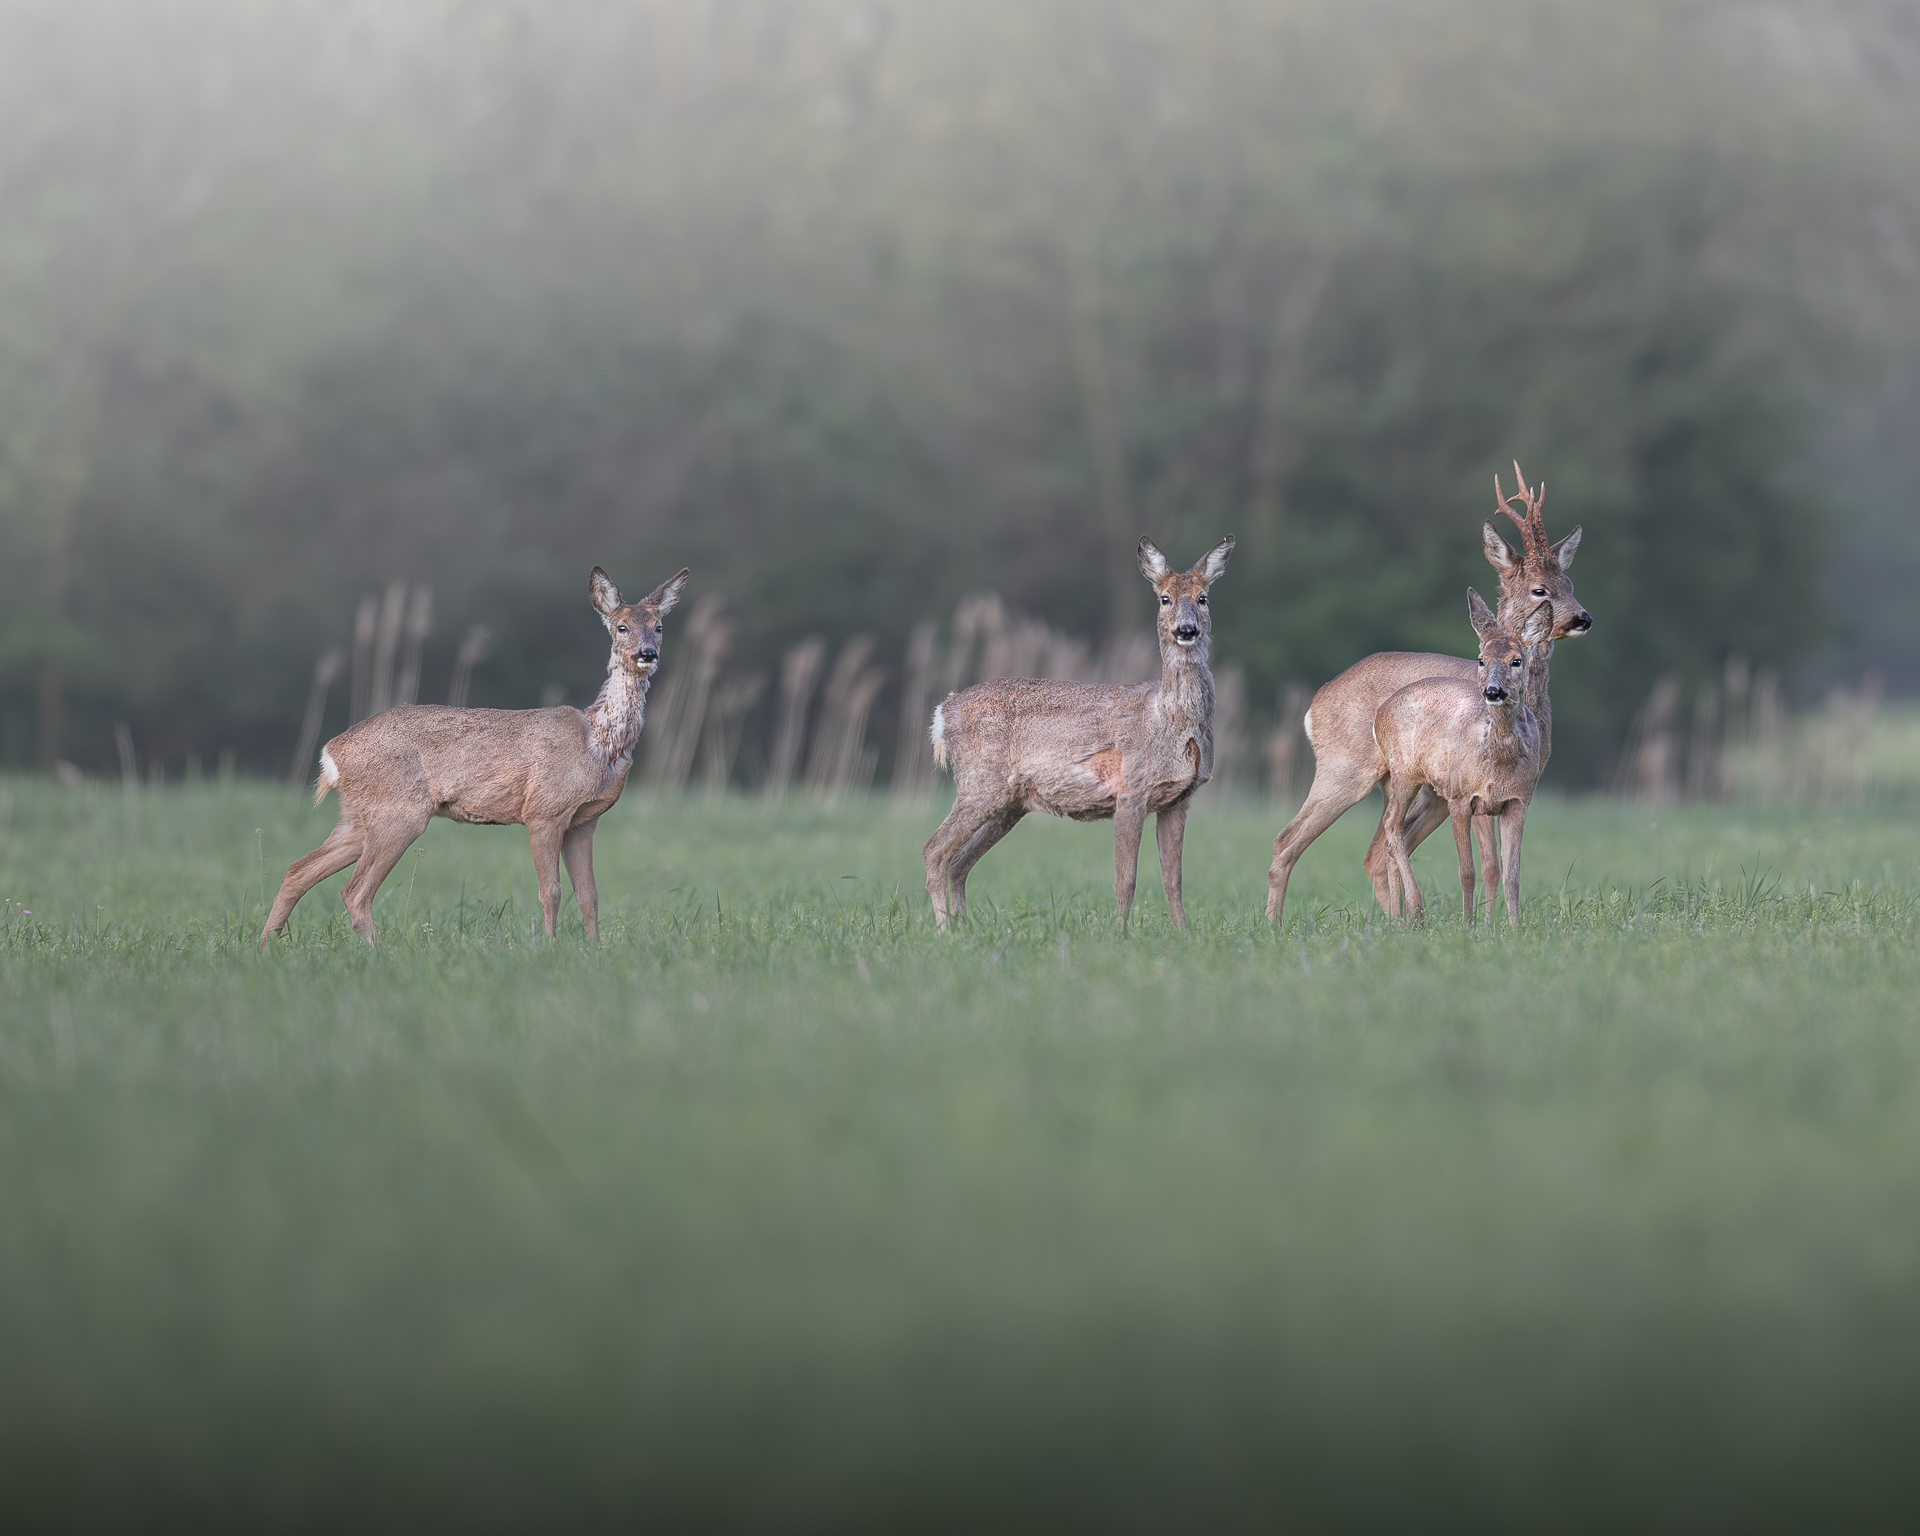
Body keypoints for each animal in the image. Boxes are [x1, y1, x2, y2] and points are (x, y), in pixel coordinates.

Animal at [260, 564, 689, 949]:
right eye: (621, 626)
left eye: (659, 626)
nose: (647, 653)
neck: (599, 740)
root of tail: (331, 753)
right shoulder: (544, 810)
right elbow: (550, 891)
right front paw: (549, 947)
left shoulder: (584, 821)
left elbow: (590, 896)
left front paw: (594, 951)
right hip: (397, 812)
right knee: (354, 890)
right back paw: (379, 953)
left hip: (356, 816)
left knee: (297, 870)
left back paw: (264, 948)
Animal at [924, 535, 1234, 933]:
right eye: (1165, 598)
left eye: (1203, 597)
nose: (1186, 630)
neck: (1169, 718)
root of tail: (944, 711)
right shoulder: (1131, 789)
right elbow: (1126, 878)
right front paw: (1120, 933)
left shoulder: (1178, 799)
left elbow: (1173, 878)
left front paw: (1183, 934)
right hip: (980, 784)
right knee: (934, 850)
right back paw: (945, 931)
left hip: (1010, 803)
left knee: (960, 861)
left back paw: (964, 929)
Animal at [1375, 591, 1554, 925]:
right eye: (1481, 659)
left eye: (1516, 660)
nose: (1493, 691)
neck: (1497, 762)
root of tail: (1379, 713)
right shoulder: (1459, 797)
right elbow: (1466, 872)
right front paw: (1468, 926)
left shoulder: (1518, 801)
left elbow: (1512, 876)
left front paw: (1514, 928)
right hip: (1405, 773)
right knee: (1391, 826)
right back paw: (1415, 909)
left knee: (1394, 835)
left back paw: (1398, 917)